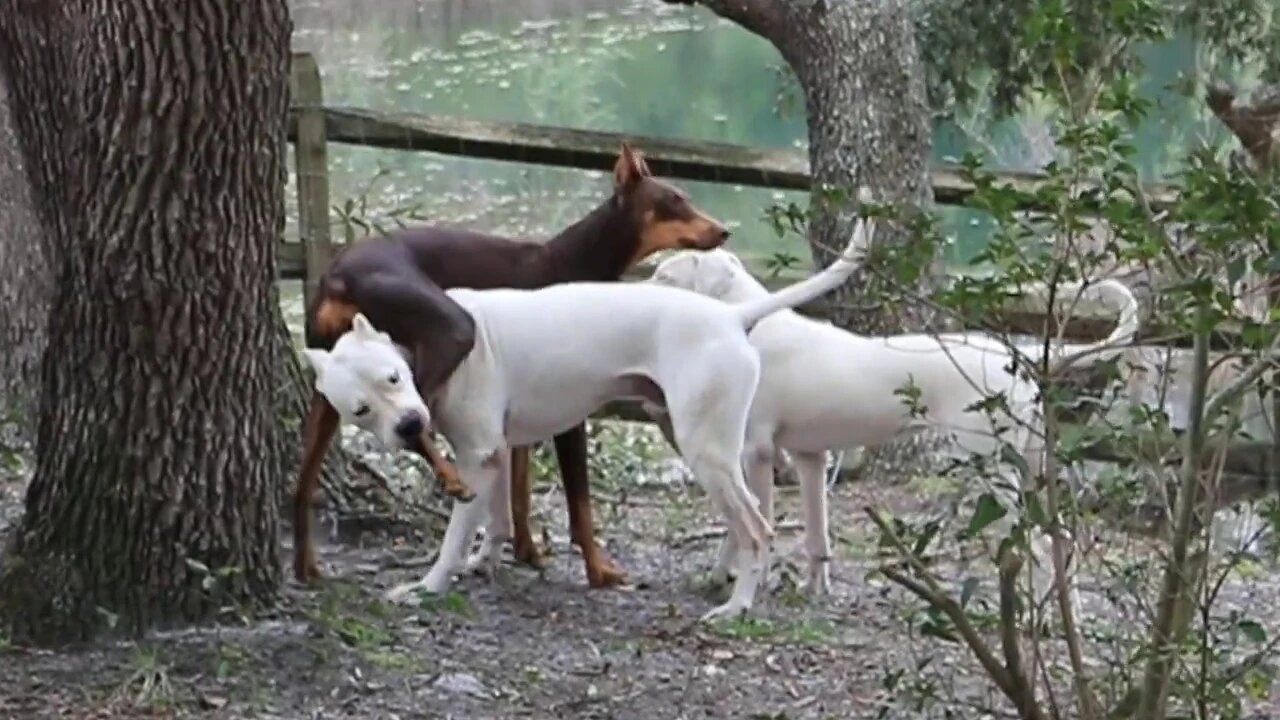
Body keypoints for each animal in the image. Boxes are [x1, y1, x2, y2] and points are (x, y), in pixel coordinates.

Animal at [293, 144, 732, 584]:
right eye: (673, 201)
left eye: (685, 197)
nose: (725, 232)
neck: (574, 260)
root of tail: (337, 276)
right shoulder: (570, 419)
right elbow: (580, 504)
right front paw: (598, 570)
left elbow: (519, 490)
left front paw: (525, 550)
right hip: (452, 330)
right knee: (415, 419)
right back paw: (451, 479)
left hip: (328, 390)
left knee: (302, 481)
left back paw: (304, 565)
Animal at [302, 217, 880, 617]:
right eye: (359, 410)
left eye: (393, 378)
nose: (408, 427)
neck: (423, 342)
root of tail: (732, 314)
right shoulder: (493, 453)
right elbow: (497, 516)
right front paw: (488, 561)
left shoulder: (478, 456)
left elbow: (455, 535)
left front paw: (430, 587)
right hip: (699, 441)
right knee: (755, 514)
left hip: (705, 451)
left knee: (759, 529)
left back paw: (737, 607)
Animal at [650, 245, 1141, 594]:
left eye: (663, 277)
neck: (750, 322)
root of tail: (1015, 358)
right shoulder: (810, 457)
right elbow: (817, 535)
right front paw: (814, 590)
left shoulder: (754, 452)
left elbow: (745, 524)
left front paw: (733, 577)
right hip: (1027, 465)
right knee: (1058, 540)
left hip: (990, 468)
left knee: (1033, 544)